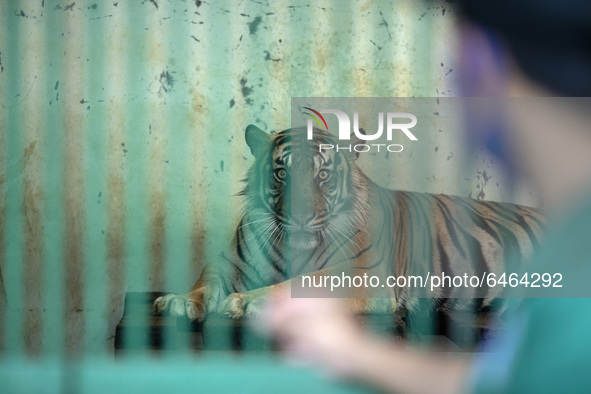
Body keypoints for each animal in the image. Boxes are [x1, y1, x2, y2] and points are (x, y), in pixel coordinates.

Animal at [154, 124, 544, 334]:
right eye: (281, 174)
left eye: (323, 176)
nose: (300, 215)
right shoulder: (231, 263)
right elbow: (206, 280)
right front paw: (181, 301)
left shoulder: (362, 274)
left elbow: (302, 284)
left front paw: (248, 302)